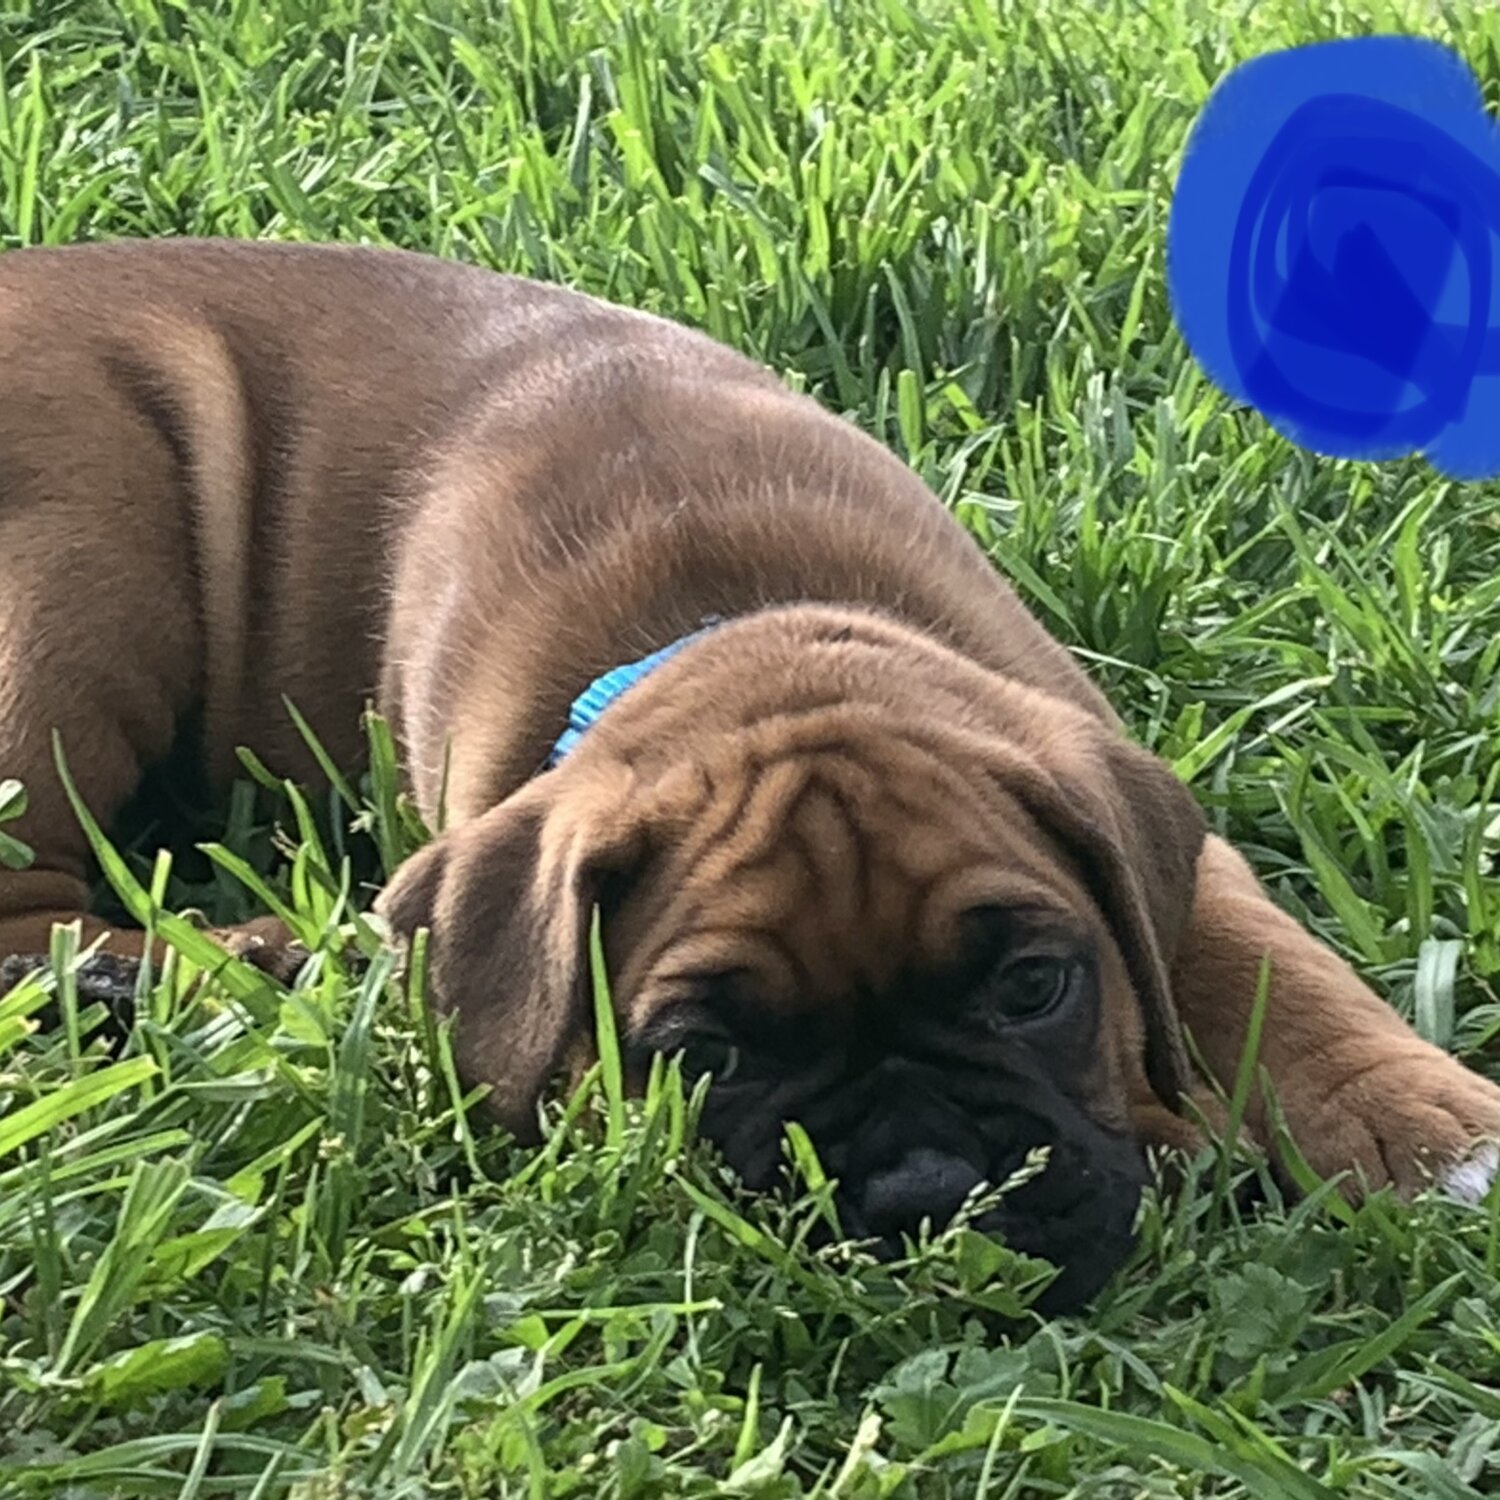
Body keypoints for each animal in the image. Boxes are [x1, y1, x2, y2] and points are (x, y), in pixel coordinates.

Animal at [2, 240, 1500, 1308]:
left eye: (1034, 988)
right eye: (701, 1056)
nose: (921, 1192)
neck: (744, 620)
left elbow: (1265, 966)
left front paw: (1437, 1135)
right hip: (80, 575)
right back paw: (193, 967)